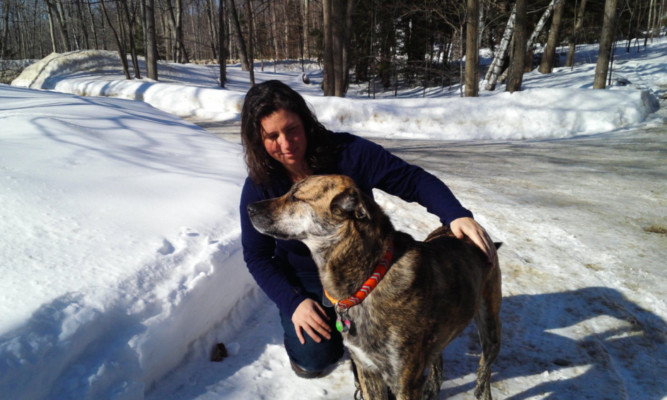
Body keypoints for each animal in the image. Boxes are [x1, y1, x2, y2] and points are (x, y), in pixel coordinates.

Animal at [249, 175, 500, 400]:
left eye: (295, 196)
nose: (249, 207)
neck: (369, 280)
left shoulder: (404, 382)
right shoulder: (367, 370)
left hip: (490, 326)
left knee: (485, 365)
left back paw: (482, 392)